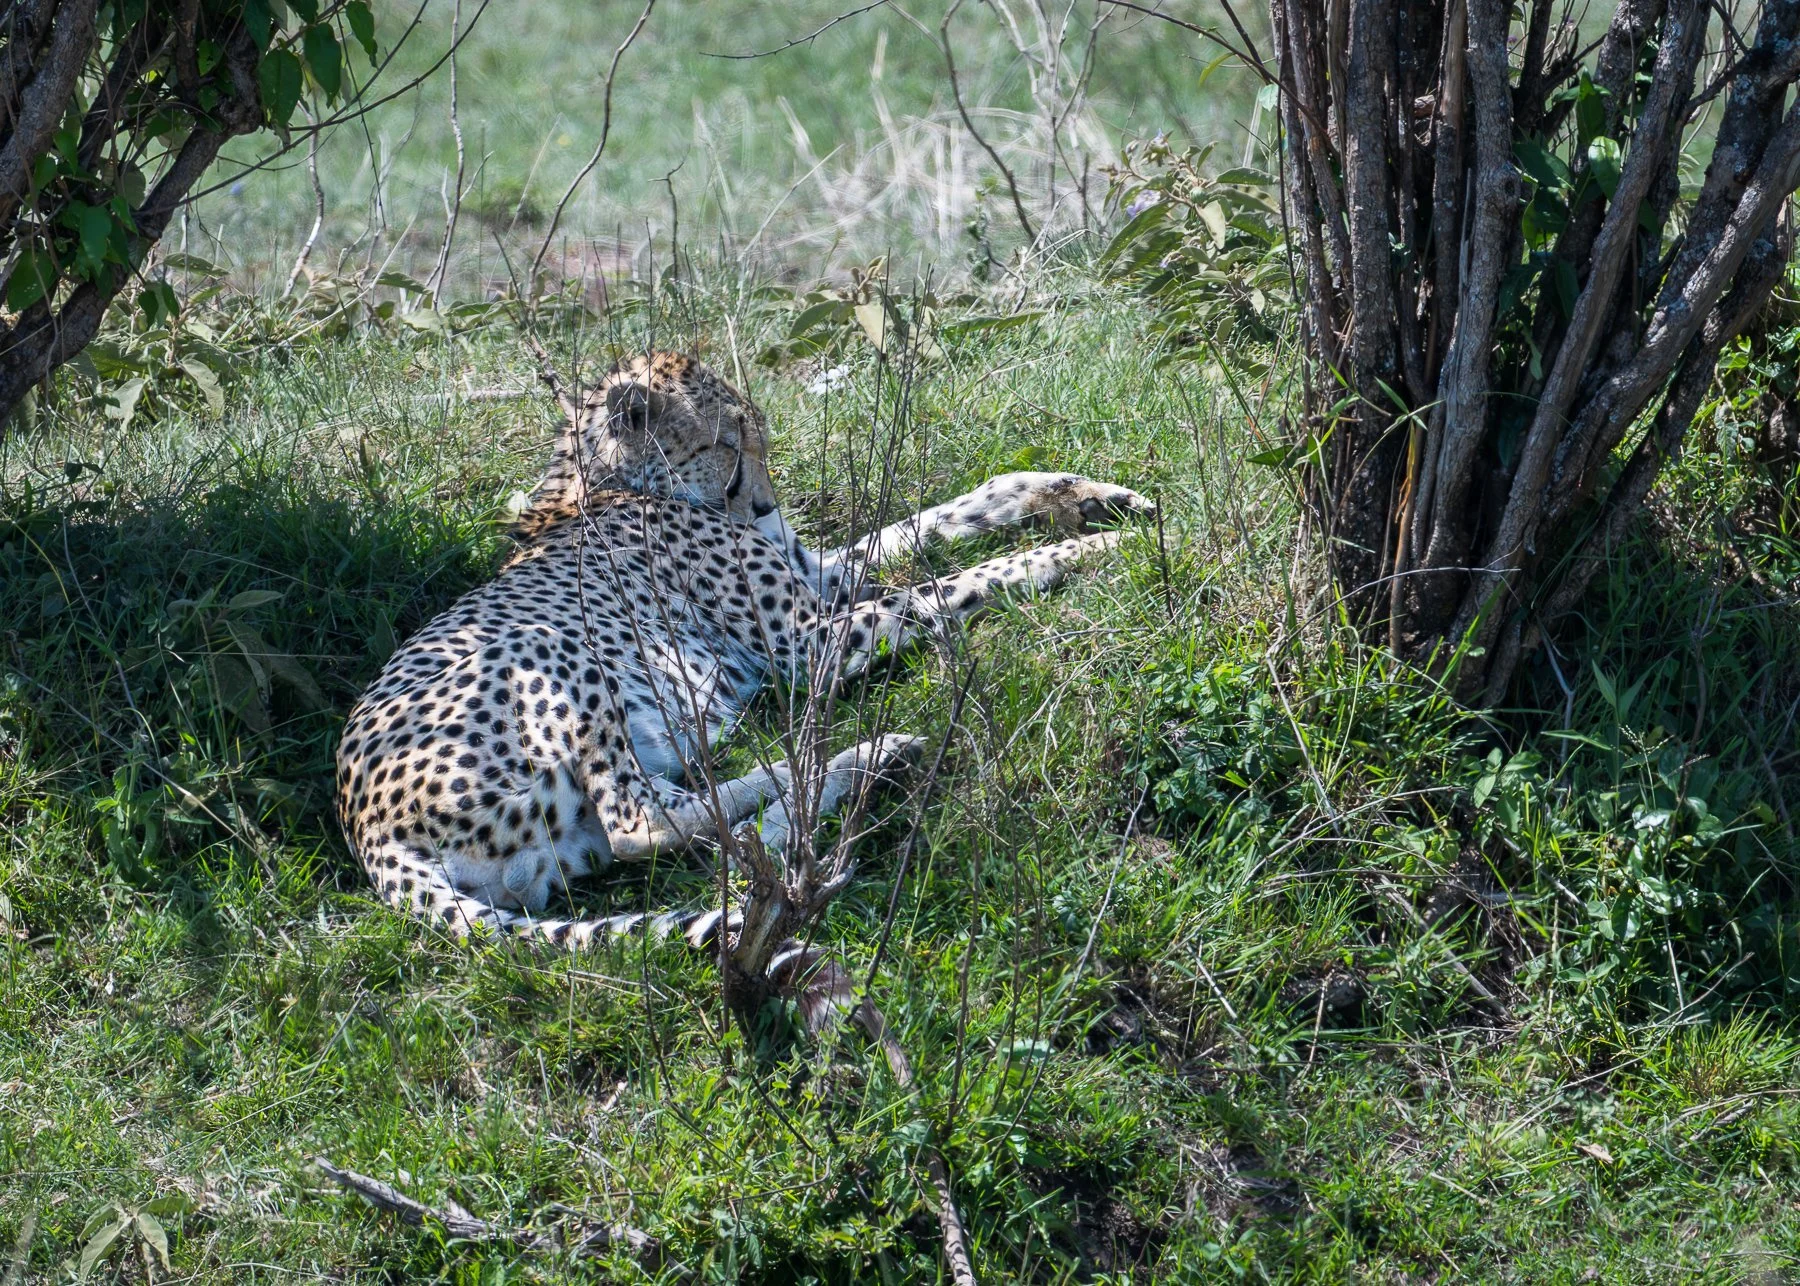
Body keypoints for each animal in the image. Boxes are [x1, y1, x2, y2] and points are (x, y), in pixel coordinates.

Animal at [334, 349, 1152, 955]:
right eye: (728, 443)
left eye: (755, 434)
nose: (763, 504)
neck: (605, 485)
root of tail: (365, 832)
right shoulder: (808, 639)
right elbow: (951, 584)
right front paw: (1086, 550)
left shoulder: (818, 575)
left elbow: (941, 518)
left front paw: (1082, 493)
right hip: (553, 653)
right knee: (642, 824)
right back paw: (848, 763)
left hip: (563, 847)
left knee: (686, 827)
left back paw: (856, 771)